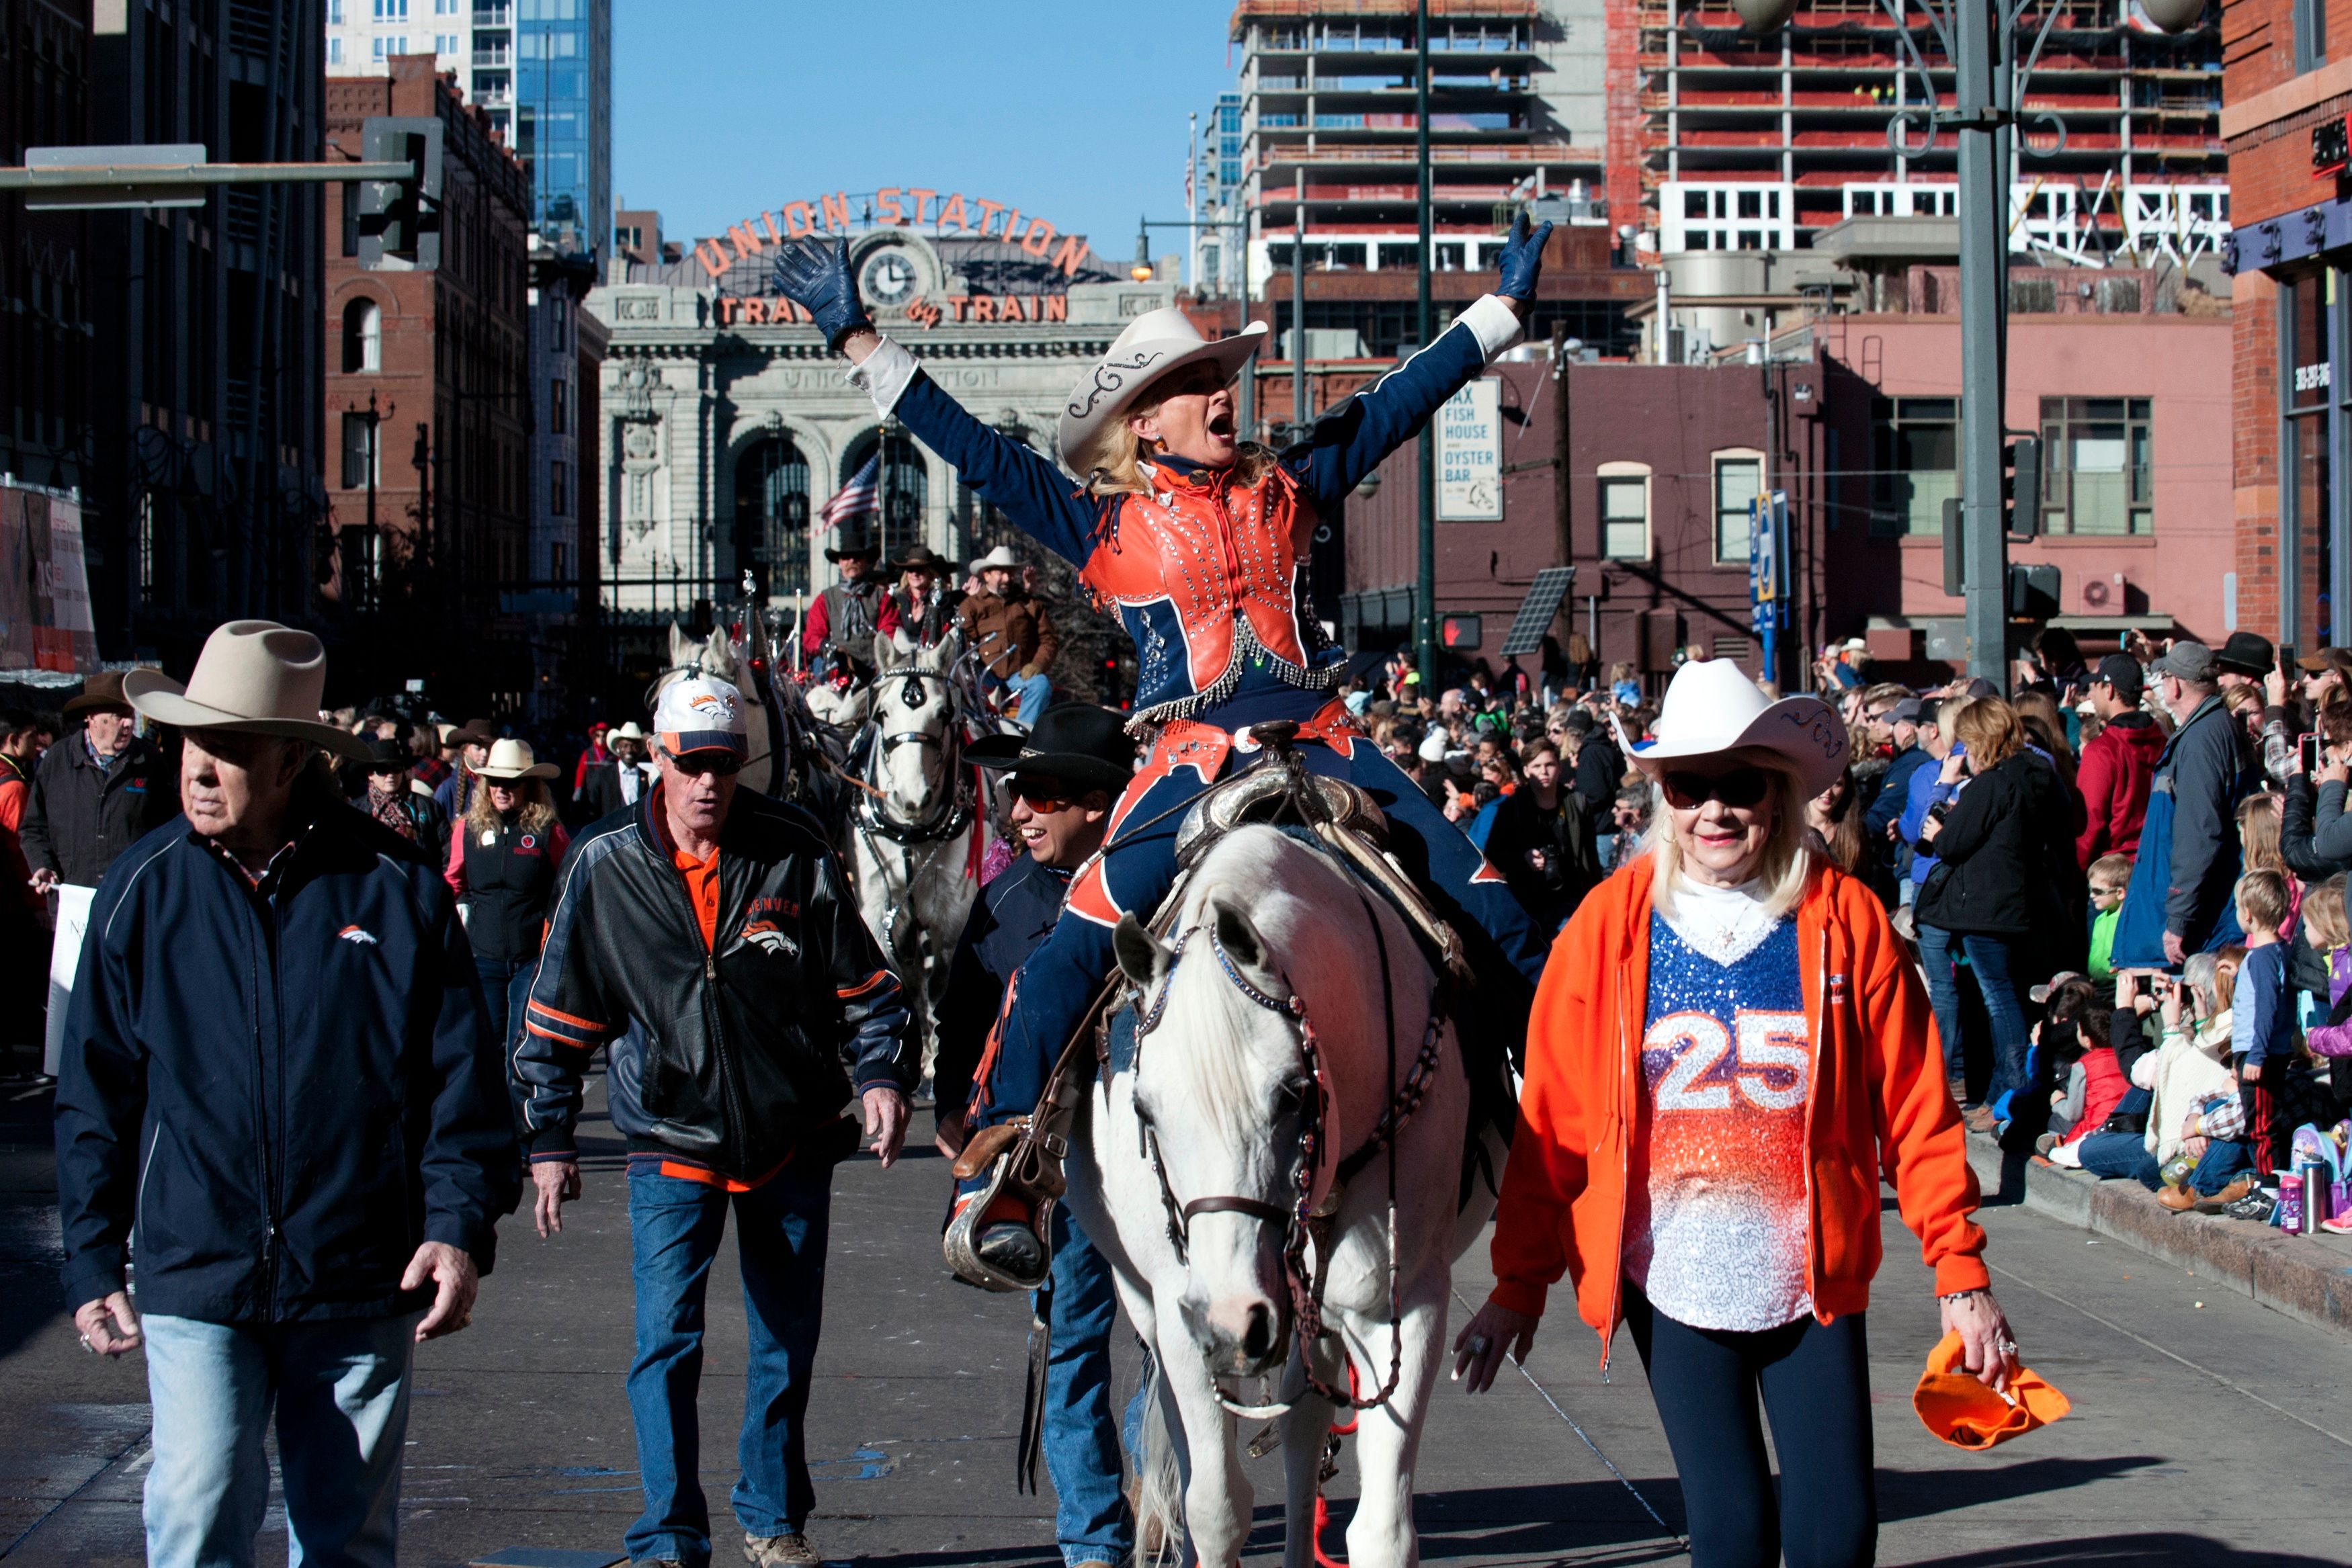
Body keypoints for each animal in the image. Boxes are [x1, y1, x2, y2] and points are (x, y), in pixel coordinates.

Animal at [847, 629, 993, 1086]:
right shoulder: (879, 911)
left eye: (944, 713)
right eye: (882, 713)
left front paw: (936, 1056)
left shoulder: (953, 914)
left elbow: (944, 984)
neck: (911, 834)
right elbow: (902, 982)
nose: (911, 797)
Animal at [1068, 827, 1486, 1568]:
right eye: (1144, 1108)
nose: (1233, 1322)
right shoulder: (1182, 1318)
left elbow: (1381, 1532)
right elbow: (1216, 1508)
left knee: (1303, 1422)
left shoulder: (1402, 1306)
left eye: (1292, 1094)